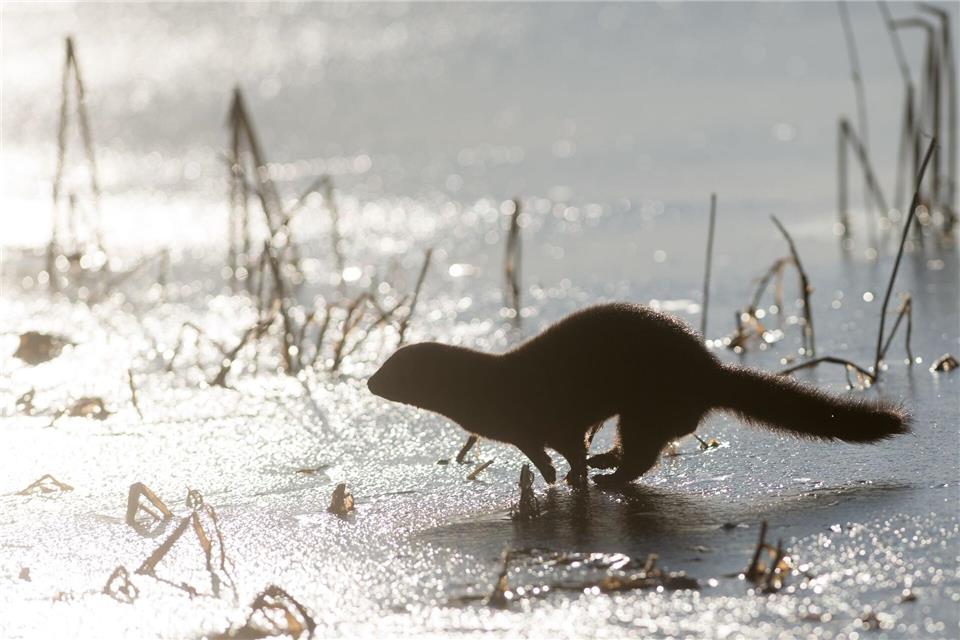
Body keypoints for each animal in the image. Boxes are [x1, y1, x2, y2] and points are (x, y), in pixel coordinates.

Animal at [367, 303, 908, 488]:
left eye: (390, 368)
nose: (368, 382)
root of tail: (709, 369)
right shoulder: (526, 430)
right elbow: (544, 449)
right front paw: (559, 474)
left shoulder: (550, 418)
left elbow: (563, 445)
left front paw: (570, 477)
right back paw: (607, 460)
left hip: (646, 403)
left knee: (646, 450)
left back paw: (609, 476)